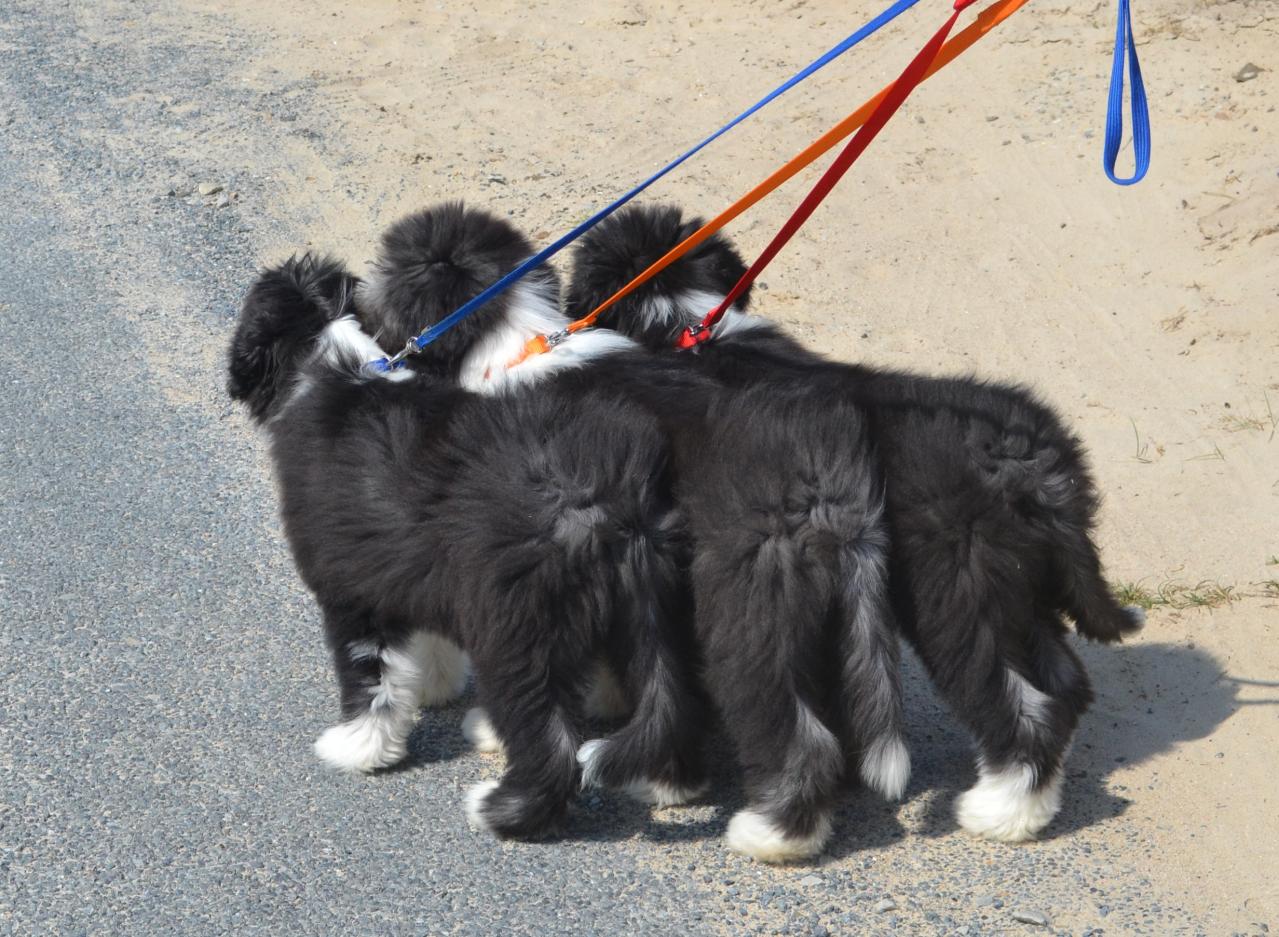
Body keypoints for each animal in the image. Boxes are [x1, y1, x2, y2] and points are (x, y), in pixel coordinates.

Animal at [230, 254, 711, 833]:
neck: (332, 369)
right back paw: (665, 785)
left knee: (552, 740)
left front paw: (357, 749)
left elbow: (371, 680)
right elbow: (429, 638)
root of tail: (607, 503)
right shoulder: (418, 566)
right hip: (651, 611)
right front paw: (435, 687)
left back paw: (498, 809)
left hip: (518, 628)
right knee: (668, 699)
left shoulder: (352, 591)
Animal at [355, 204, 905, 864]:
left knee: (798, 731)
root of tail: (827, 481)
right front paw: (666, 773)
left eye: (392, 267)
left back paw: (773, 835)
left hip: (747, 609)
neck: (516, 348)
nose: (359, 303)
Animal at [565, 203, 1145, 838]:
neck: (685, 329)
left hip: (956, 591)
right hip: (1017, 588)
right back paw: (1028, 803)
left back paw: (996, 811)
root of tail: (1034, 458)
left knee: (1020, 702)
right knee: (1060, 683)